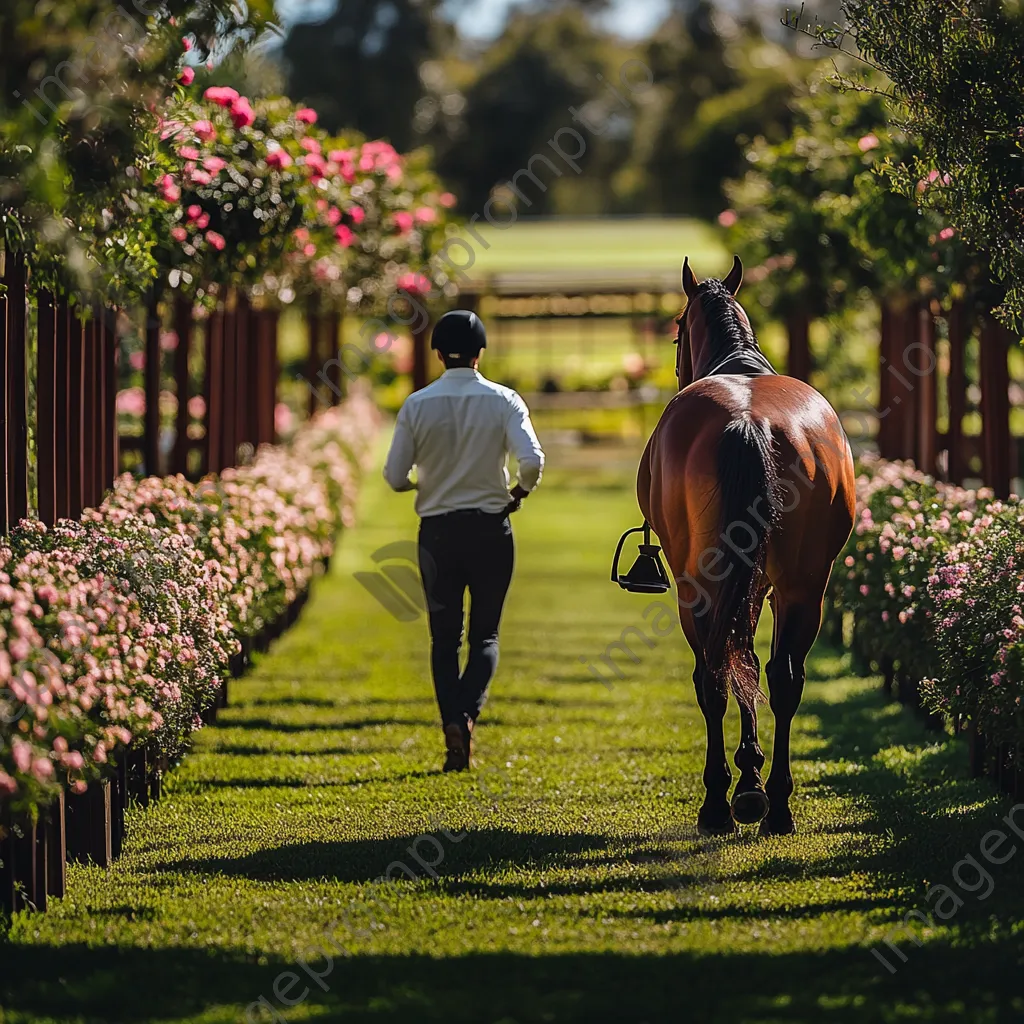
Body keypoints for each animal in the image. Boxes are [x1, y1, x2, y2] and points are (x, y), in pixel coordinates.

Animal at [638, 260, 856, 835]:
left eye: (676, 331)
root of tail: (749, 420)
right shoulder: (765, 581)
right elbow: (756, 662)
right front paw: (753, 777)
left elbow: (731, 663)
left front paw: (741, 780)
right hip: (804, 586)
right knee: (784, 678)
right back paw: (775, 804)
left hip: (699, 585)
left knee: (713, 674)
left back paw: (718, 804)